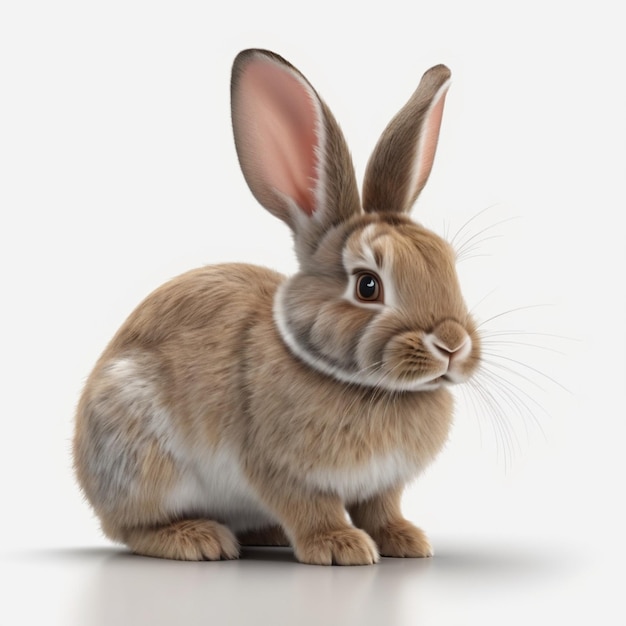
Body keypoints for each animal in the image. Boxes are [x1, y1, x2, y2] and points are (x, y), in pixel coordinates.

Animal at [74, 50, 482, 564]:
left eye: (447, 264)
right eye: (367, 286)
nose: (452, 344)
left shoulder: (382, 485)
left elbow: (380, 509)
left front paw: (406, 541)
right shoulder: (280, 470)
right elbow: (310, 509)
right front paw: (340, 547)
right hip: (140, 455)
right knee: (129, 528)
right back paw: (198, 539)